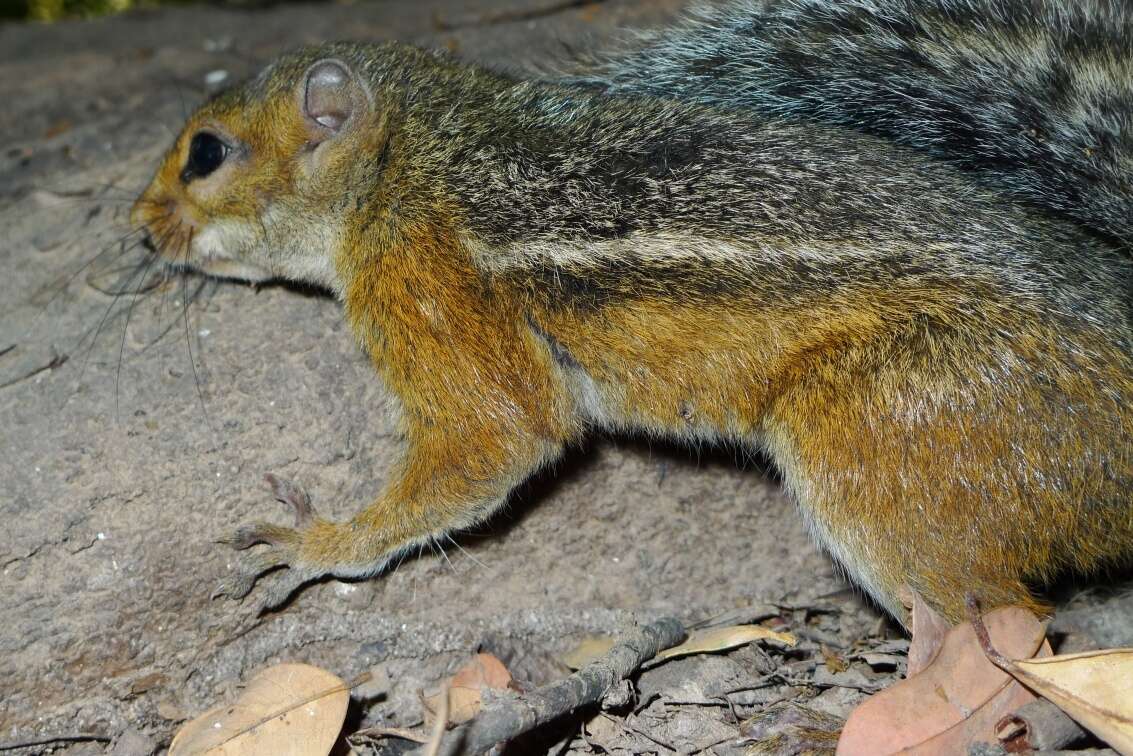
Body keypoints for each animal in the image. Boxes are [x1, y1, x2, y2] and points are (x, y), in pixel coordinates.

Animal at [128, 1, 1128, 625]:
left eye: (206, 152)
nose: (139, 225)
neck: (410, 159)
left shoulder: (426, 287)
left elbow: (495, 435)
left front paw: (319, 542)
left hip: (877, 457)